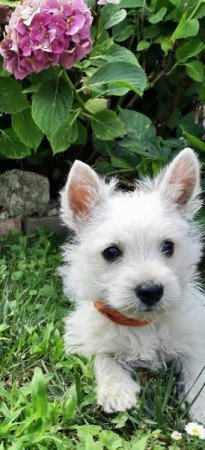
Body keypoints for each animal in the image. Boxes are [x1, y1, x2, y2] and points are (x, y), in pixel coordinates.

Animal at [58, 149, 205, 422]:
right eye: (111, 252)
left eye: (168, 246)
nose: (151, 291)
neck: (141, 323)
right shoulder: (88, 331)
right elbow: (103, 356)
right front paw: (116, 391)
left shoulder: (195, 335)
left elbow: (198, 371)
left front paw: (201, 406)